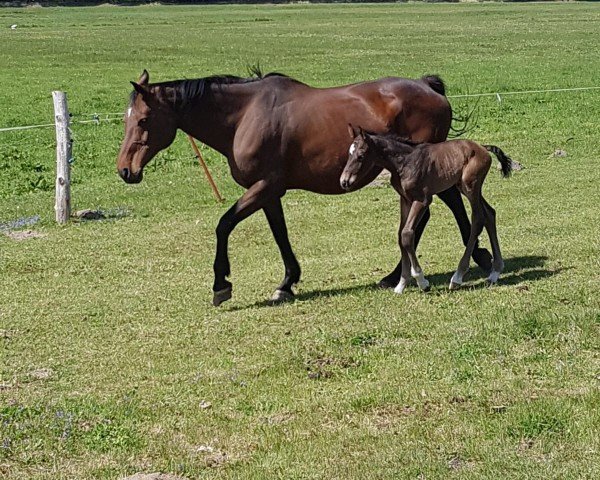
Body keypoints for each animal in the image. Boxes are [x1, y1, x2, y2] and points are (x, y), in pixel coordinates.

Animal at [340, 127, 512, 290]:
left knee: (478, 219)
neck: (404, 162)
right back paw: (495, 273)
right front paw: (401, 284)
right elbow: (400, 235)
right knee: (490, 214)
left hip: (470, 187)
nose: (344, 181)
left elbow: (407, 234)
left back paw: (457, 278)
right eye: (349, 154)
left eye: (360, 155)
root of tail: (482, 147)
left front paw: (421, 281)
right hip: (466, 187)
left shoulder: (422, 200)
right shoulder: (406, 200)